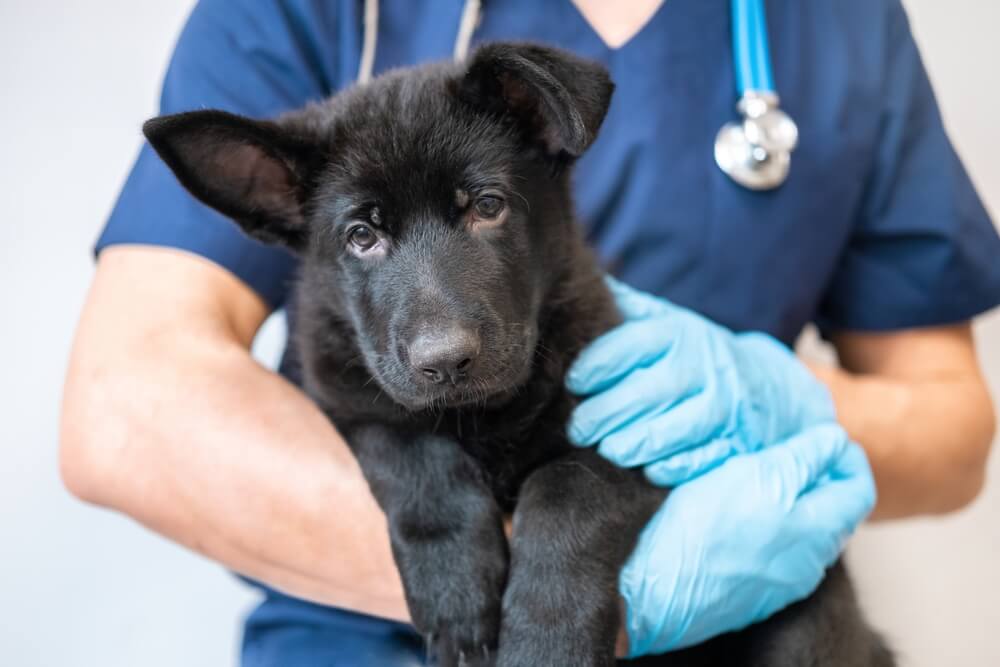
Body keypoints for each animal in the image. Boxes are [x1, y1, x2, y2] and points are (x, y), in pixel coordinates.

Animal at [143, 43, 892, 667]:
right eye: (360, 236)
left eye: (487, 205)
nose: (444, 361)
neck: (486, 414)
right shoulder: (346, 394)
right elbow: (415, 456)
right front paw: (457, 593)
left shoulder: (637, 434)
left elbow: (567, 493)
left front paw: (546, 641)